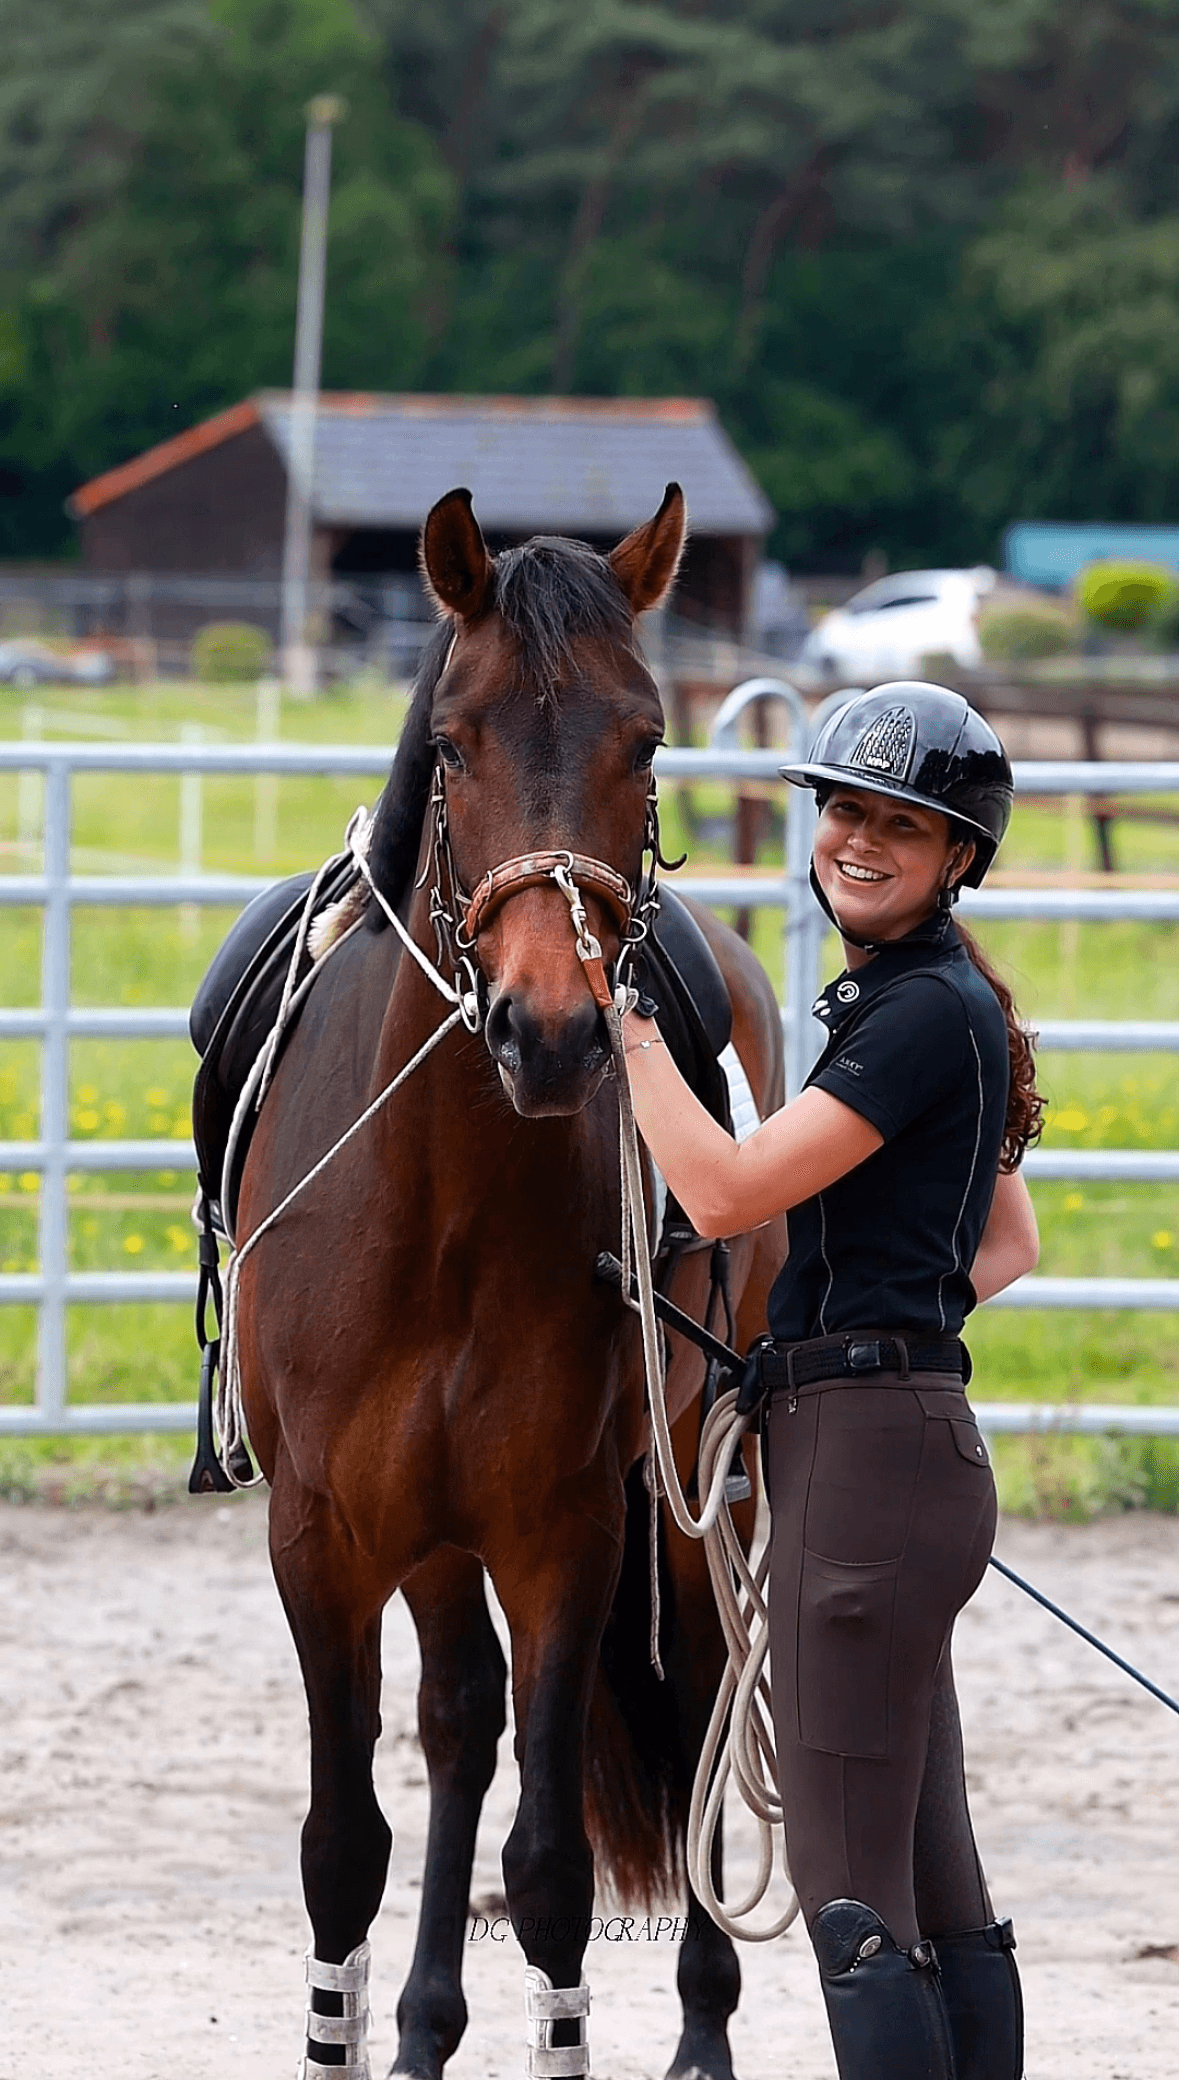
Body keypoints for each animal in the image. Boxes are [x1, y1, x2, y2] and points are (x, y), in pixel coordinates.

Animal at [231, 483, 787, 2078]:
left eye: (646, 739)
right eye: (460, 738)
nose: (551, 1029)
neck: (439, 1212)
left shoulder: (563, 1531)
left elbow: (547, 1869)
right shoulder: (325, 1535)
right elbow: (342, 1844)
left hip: (694, 1480)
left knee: (701, 1685)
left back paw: (705, 2025)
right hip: (428, 1530)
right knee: (462, 1720)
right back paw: (422, 2025)